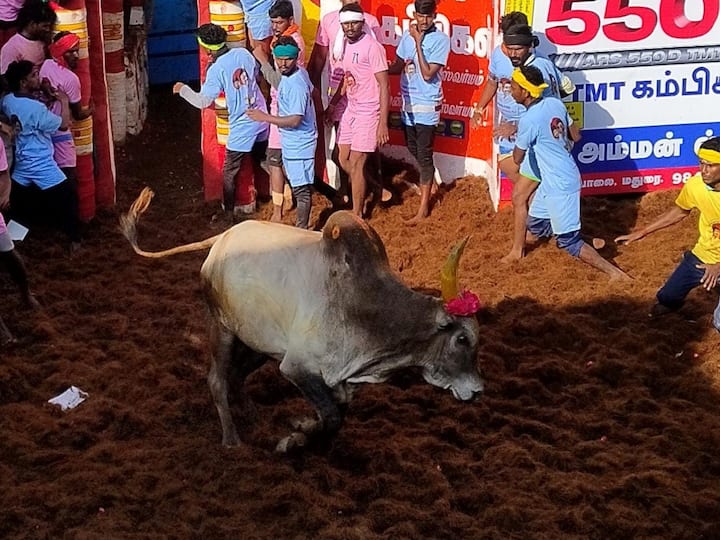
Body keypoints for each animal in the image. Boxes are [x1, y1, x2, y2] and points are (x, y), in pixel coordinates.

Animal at [122, 190, 484, 452]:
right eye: (462, 339)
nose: (478, 391)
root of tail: (222, 239)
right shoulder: (297, 367)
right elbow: (332, 416)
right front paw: (293, 441)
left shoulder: (336, 380)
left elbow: (333, 414)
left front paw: (302, 429)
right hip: (221, 328)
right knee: (217, 380)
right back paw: (231, 438)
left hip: (259, 343)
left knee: (237, 376)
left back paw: (255, 416)